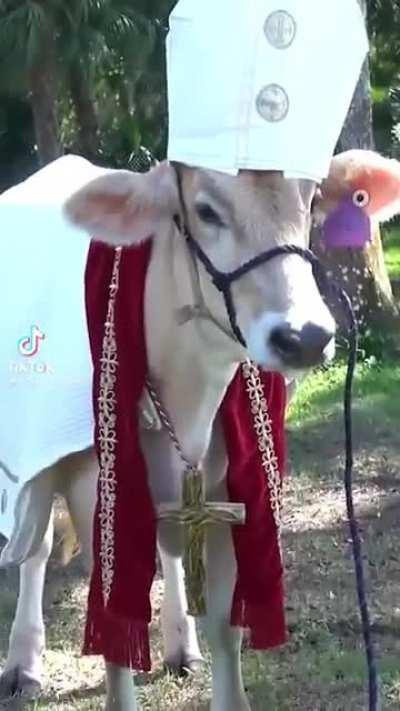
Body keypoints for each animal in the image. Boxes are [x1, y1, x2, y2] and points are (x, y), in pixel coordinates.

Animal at [1, 150, 399, 711]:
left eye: (314, 198)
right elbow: (117, 639)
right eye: (206, 210)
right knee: (32, 548)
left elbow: (225, 630)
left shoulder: (228, 496)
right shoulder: (93, 493)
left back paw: (179, 647)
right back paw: (23, 664)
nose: (303, 337)